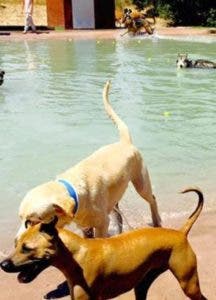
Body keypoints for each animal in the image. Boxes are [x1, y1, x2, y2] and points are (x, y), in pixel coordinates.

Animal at [0, 189, 207, 298]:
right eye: (16, 244)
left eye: (27, 248)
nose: (3, 264)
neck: (77, 256)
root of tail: (180, 233)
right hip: (142, 285)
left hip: (189, 284)